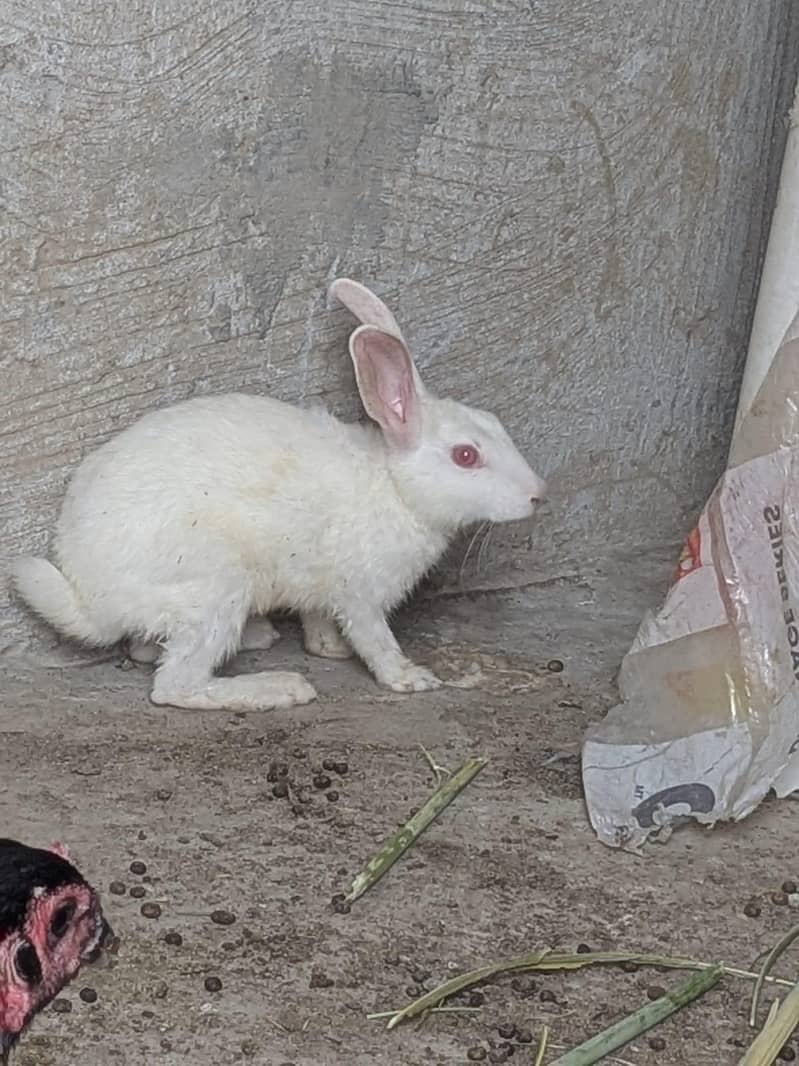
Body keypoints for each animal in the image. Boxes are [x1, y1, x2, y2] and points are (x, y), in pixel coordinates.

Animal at [10, 279, 547, 712]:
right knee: (175, 685)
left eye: (495, 424)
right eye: (465, 456)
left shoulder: (322, 590)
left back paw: (261, 637)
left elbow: (320, 624)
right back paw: (280, 688)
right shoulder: (359, 592)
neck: (394, 487)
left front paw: (331, 649)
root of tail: (90, 598)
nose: (538, 495)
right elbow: (375, 640)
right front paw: (410, 679)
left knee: (147, 650)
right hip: (216, 588)